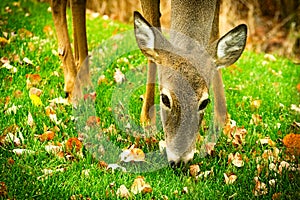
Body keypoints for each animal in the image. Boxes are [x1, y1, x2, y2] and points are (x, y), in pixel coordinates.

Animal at [49, 0, 246, 166]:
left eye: (204, 102)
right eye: (165, 99)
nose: (180, 160)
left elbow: (215, 32)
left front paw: (223, 121)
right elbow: (153, 30)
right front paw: (147, 122)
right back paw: (74, 86)